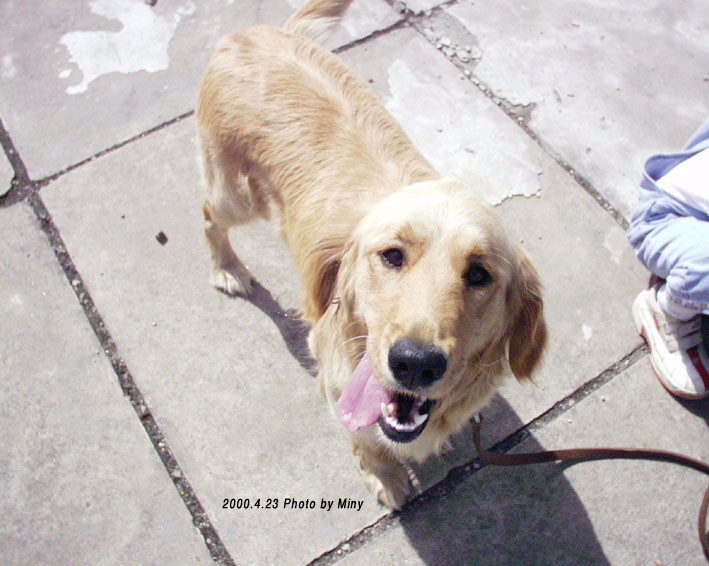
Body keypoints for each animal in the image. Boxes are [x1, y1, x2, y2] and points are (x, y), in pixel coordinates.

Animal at [197, 0, 547, 509]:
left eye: (480, 274)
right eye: (392, 256)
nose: (415, 363)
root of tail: (253, 34)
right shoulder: (335, 378)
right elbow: (364, 437)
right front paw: (383, 473)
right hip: (235, 196)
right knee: (208, 215)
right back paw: (227, 268)